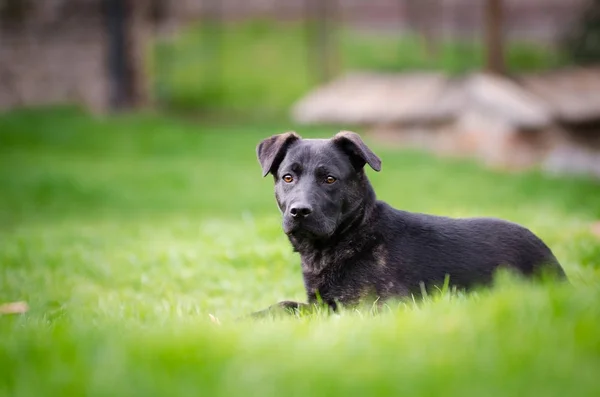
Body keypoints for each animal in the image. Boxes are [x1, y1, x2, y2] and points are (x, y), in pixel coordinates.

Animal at [252, 131, 568, 318]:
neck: (353, 233)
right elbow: (285, 304)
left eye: (330, 179)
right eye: (288, 177)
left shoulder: (375, 307)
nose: (299, 211)